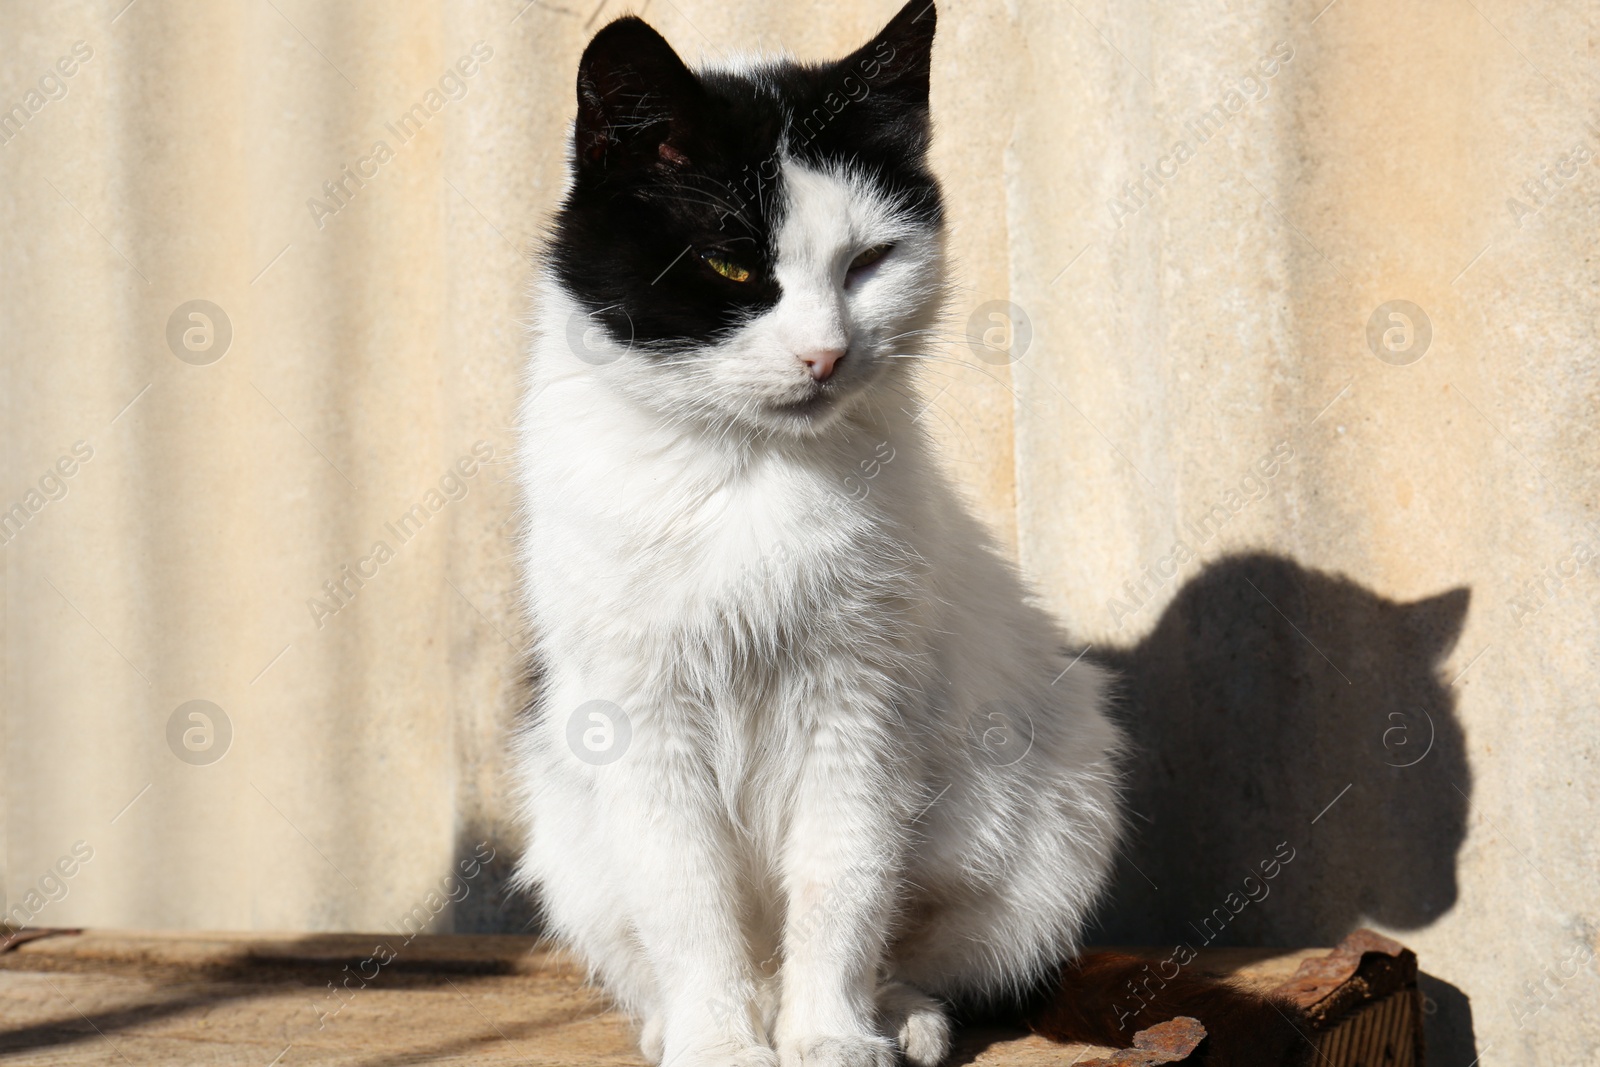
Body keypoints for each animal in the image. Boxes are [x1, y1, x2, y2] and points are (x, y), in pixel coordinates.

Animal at [515, 4, 1126, 1062]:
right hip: (565, 822)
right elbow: (687, 892)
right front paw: (718, 1042)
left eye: (869, 262)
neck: (746, 472)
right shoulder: (640, 710)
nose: (826, 353)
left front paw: (832, 1036)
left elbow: (844, 877)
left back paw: (895, 1014)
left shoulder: (860, 702)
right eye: (731, 264)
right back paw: (687, 1020)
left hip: (1056, 815)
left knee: (925, 941)